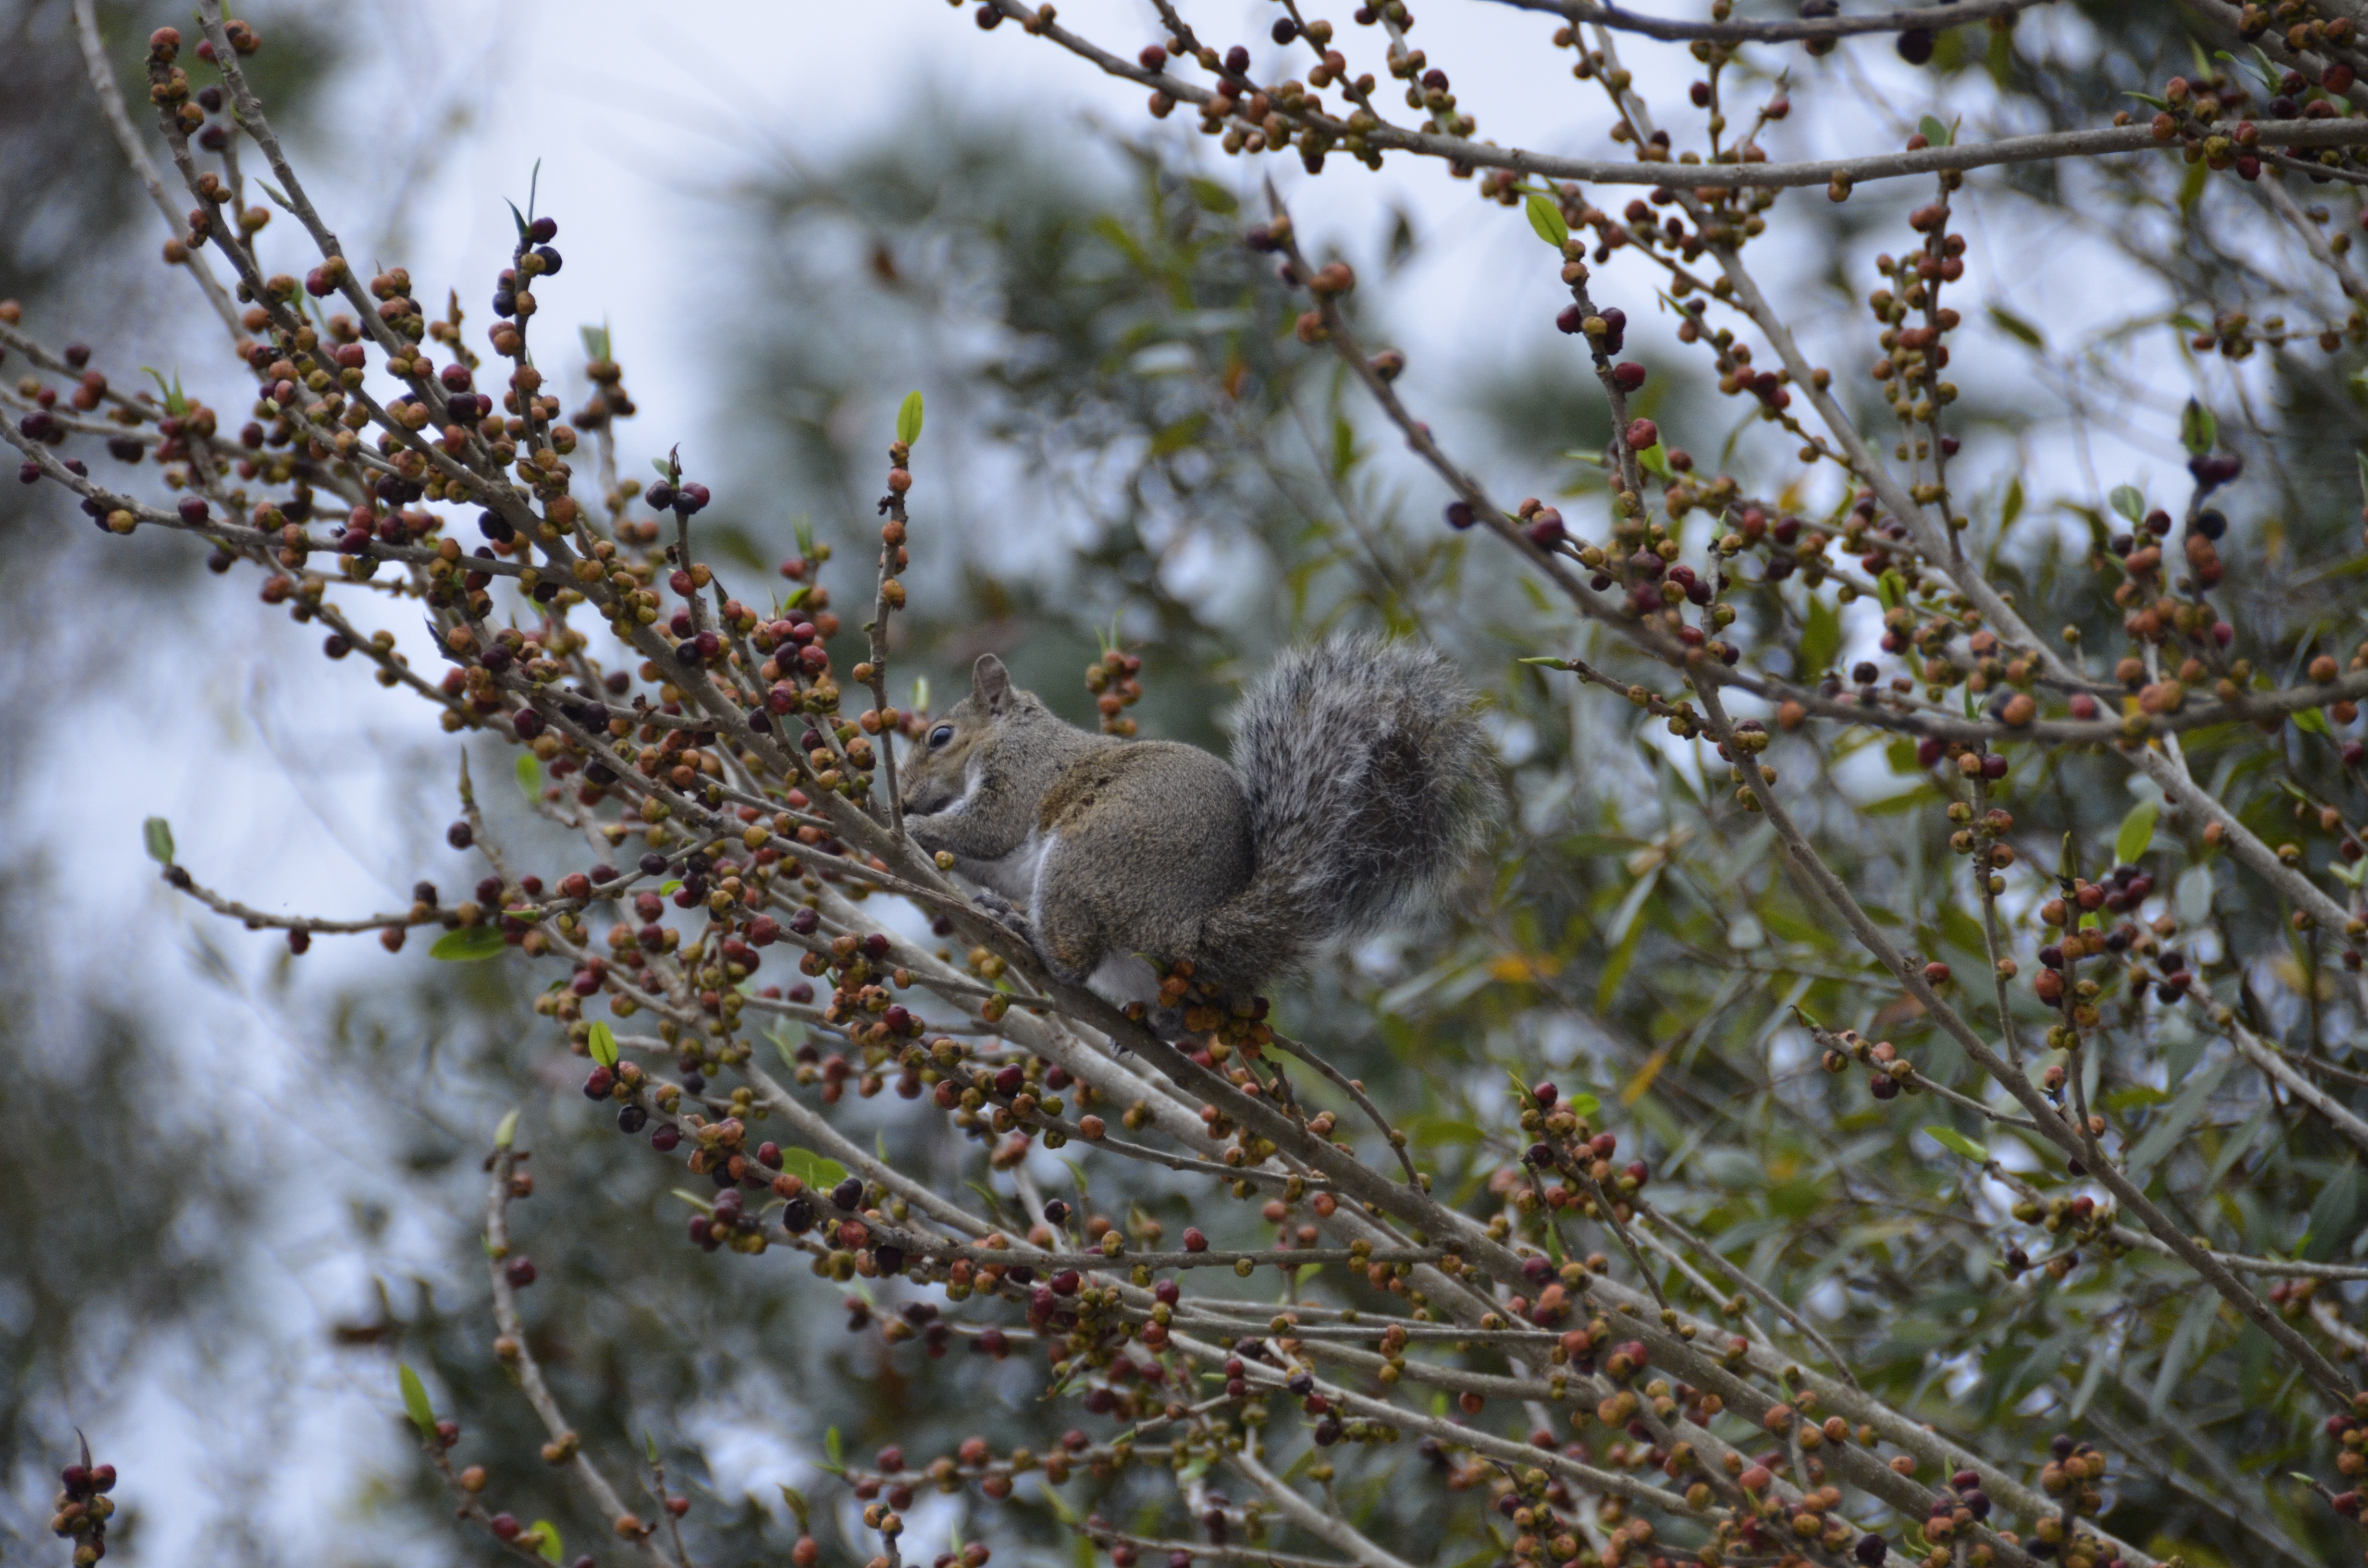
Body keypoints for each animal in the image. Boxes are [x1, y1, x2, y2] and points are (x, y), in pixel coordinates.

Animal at [895, 639, 1487, 1018]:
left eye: (940, 736)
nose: (902, 795)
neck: (1015, 730)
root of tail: (1191, 932)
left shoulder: (1022, 775)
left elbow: (988, 827)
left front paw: (915, 826)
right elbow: (985, 858)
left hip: (1084, 861)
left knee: (1074, 963)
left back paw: (1026, 932)